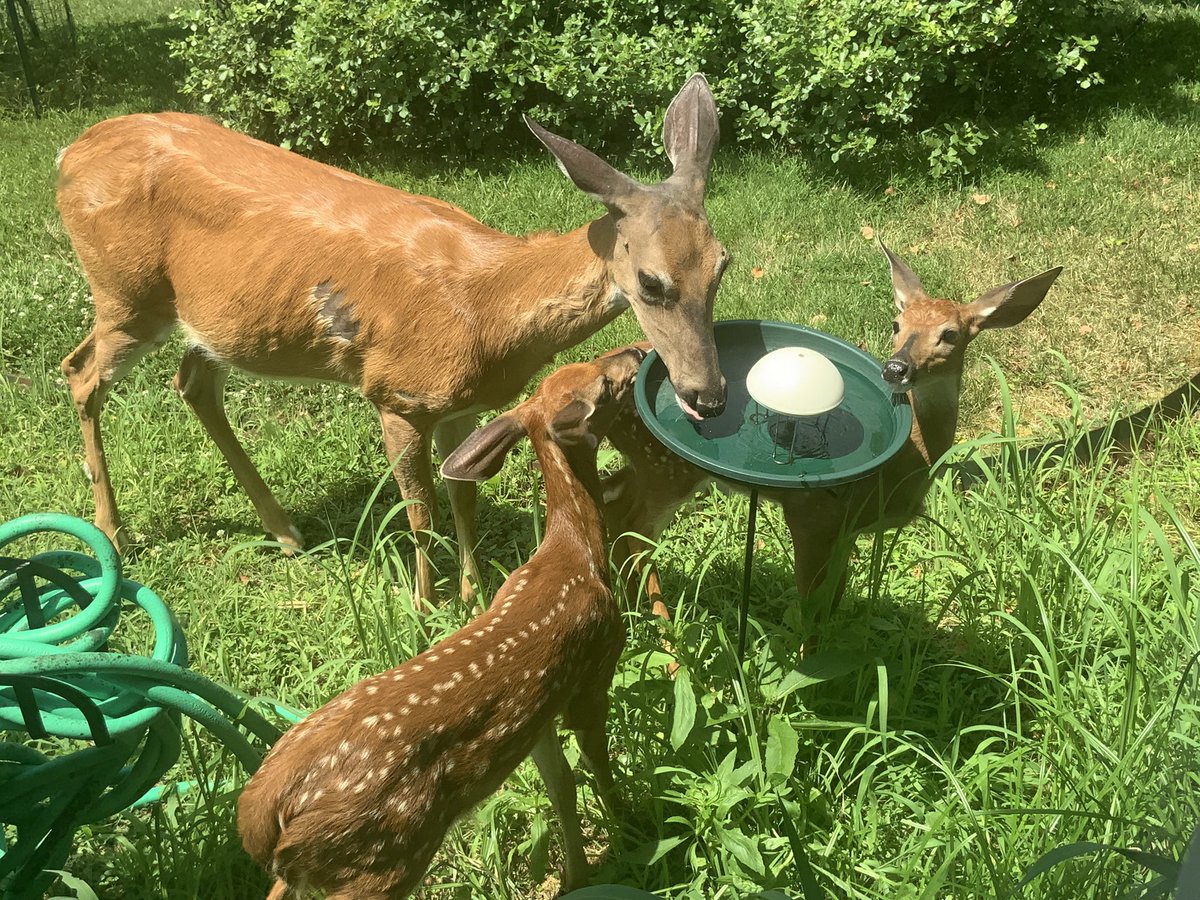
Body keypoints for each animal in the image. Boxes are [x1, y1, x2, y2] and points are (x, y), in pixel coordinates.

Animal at [54, 74, 729, 605]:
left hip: (210, 320)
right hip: (127, 292)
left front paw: (473, 592)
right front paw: (427, 607)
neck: (488, 306)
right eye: (651, 281)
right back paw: (111, 534)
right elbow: (421, 510)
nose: (709, 393)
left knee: (192, 382)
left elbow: (463, 496)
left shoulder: (461, 405)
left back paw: (286, 532)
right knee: (80, 371)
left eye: (722, 264)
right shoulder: (397, 394)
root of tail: (69, 153)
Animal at [237, 345, 647, 899]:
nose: (637, 352)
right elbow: (595, 765)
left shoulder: (535, 717)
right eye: (602, 386)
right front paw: (629, 828)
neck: (575, 553)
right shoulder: (594, 671)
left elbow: (561, 786)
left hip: (314, 871)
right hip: (382, 861)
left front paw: (578, 875)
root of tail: (258, 816)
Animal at [603, 243, 1062, 630]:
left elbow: (834, 601)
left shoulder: (847, 532)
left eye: (950, 334)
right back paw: (663, 626)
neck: (905, 468)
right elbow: (813, 610)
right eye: (896, 323)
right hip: (667, 465)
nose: (895, 368)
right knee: (634, 527)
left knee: (615, 502)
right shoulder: (815, 515)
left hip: (651, 462)